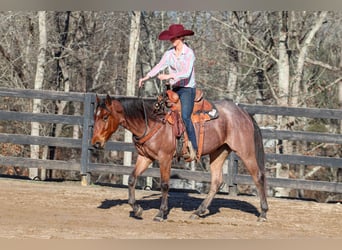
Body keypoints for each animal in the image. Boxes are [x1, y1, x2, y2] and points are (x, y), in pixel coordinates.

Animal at [92, 93, 268, 222]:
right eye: (95, 117)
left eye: (105, 117)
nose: (95, 143)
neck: (152, 121)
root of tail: (244, 113)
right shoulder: (145, 157)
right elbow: (131, 179)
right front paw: (137, 209)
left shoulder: (165, 158)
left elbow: (164, 185)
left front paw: (160, 213)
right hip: (219, 152)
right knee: (216, 182)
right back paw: (198, 211)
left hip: (246, 151)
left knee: (258, 176)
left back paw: (263, 213)